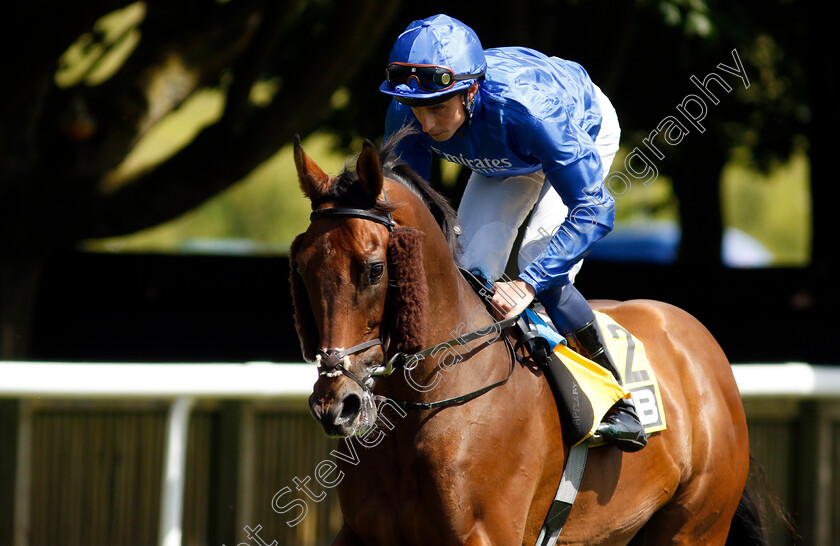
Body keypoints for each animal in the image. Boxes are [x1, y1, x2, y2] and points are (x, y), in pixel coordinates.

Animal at [288, 130, 760, 540]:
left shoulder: (486, 533)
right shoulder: (361, 533)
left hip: (697, 525)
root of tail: (694, 336)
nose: (336, 406)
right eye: (303, 269)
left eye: (374, 269)